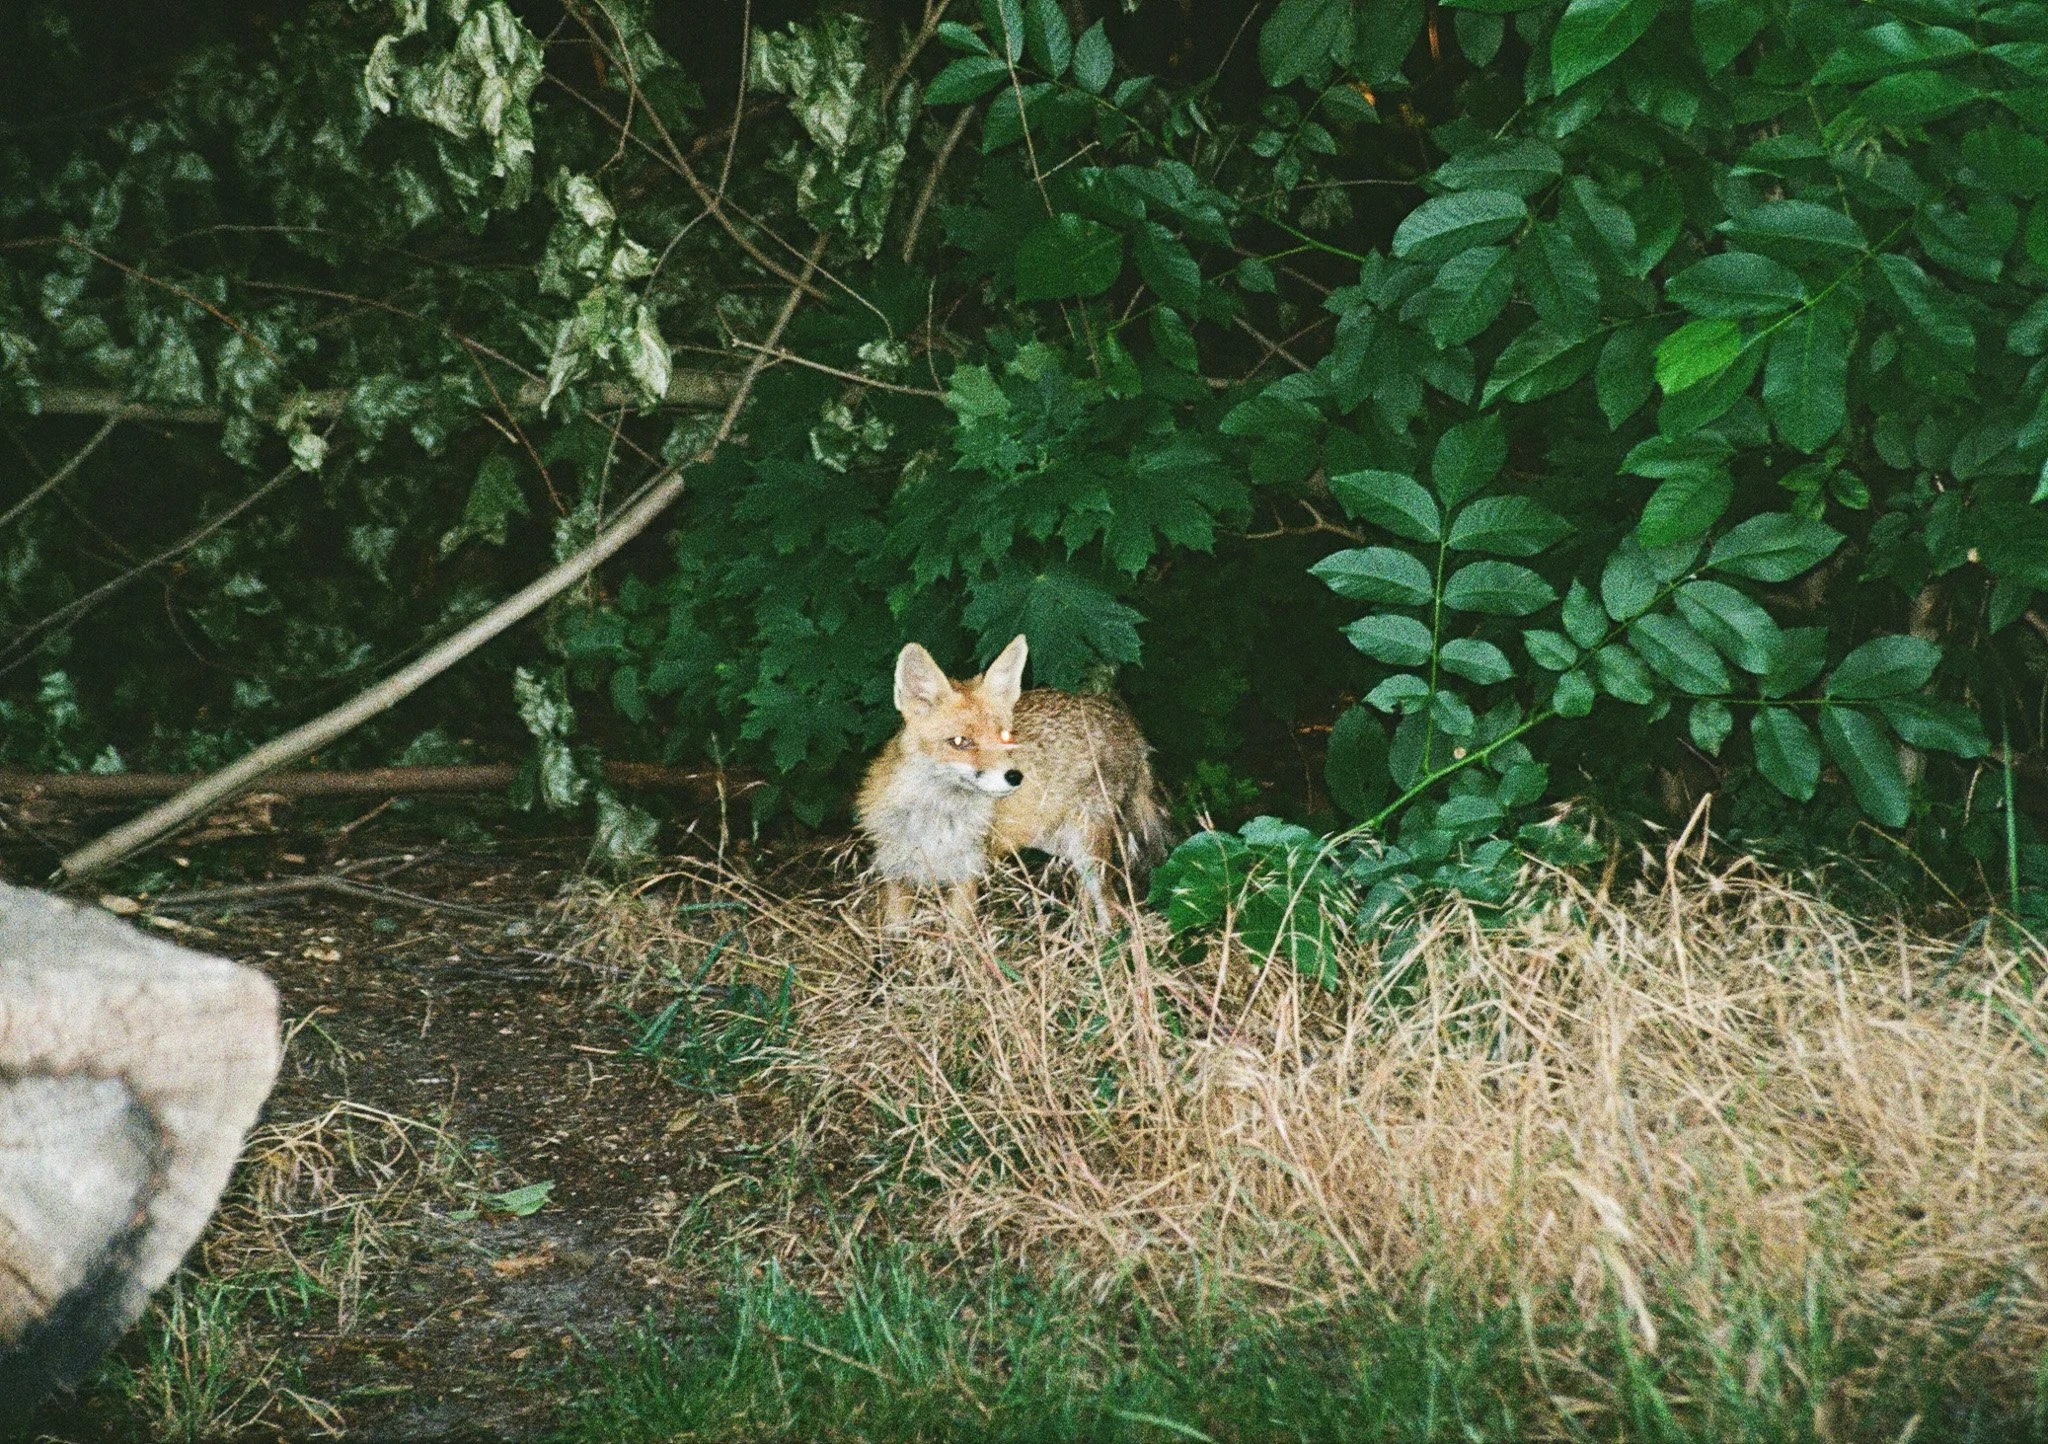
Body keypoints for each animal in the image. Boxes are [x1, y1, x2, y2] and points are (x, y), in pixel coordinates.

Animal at [855, 634, 1170, 935]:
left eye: (1006, 736)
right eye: (959, 742)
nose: (1015, 776)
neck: (935, 819)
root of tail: (1121, 715)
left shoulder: (968, 873)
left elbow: (959, 940)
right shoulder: (896, 874)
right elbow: (897, 942)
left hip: (1088, 849)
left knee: (1114, 910)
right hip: (1059, 844)